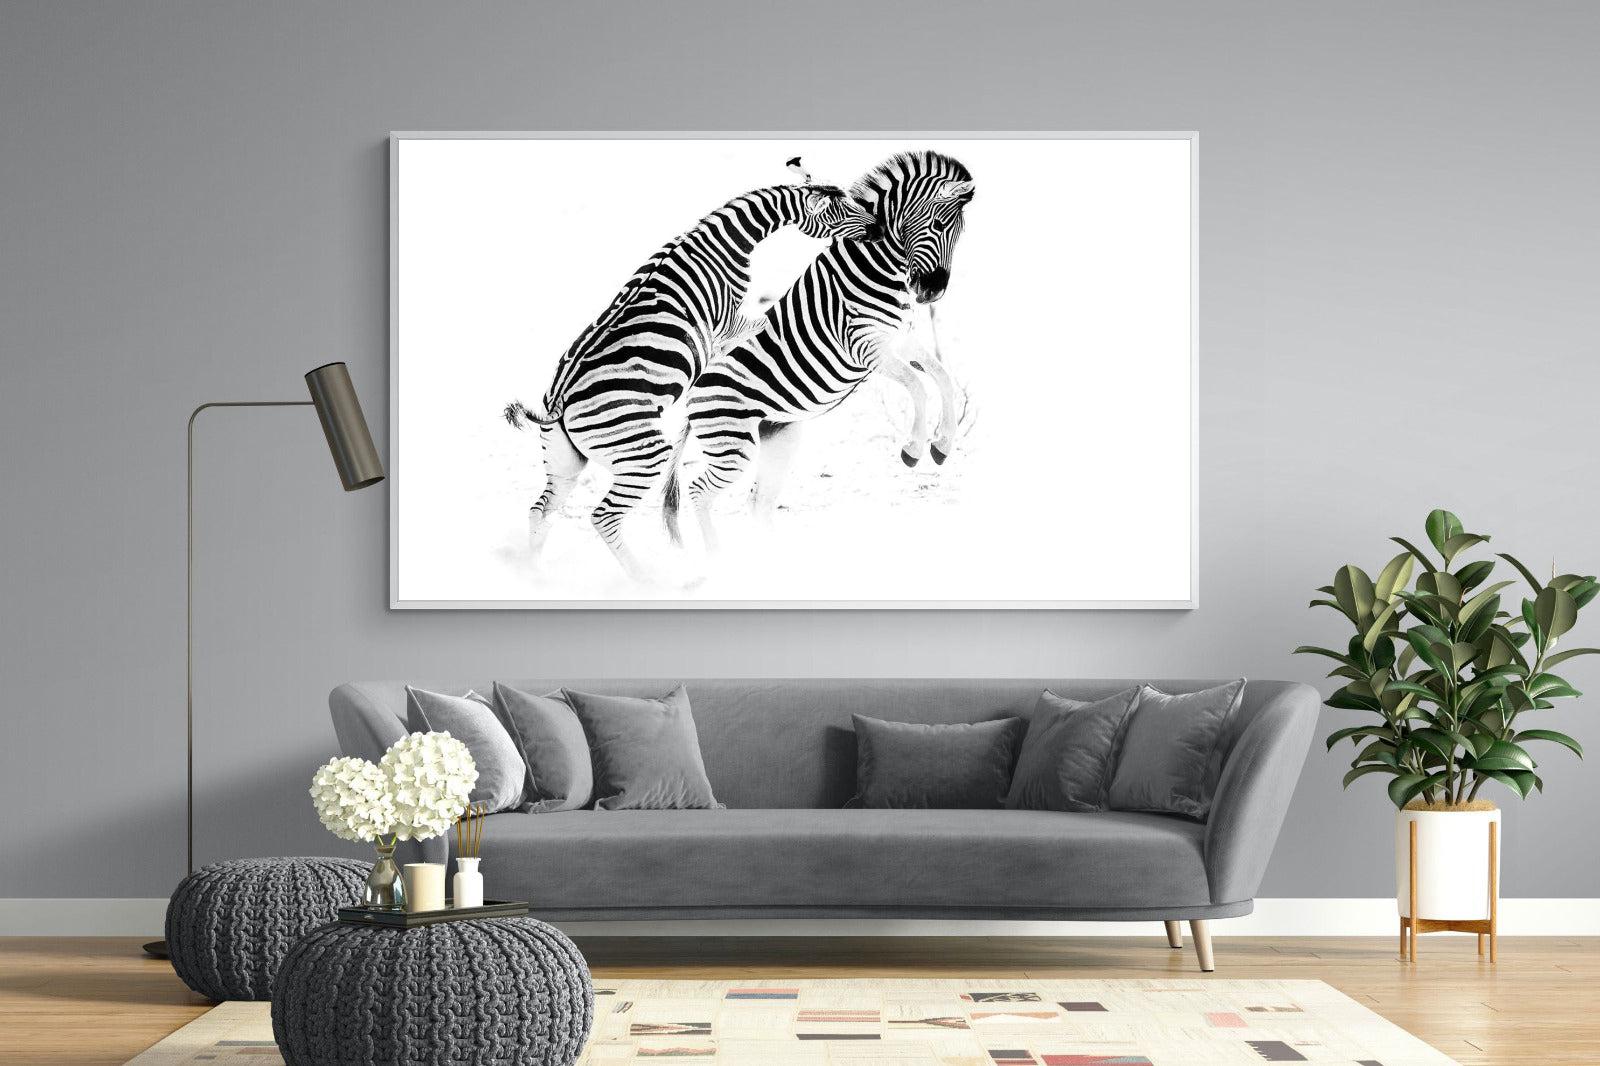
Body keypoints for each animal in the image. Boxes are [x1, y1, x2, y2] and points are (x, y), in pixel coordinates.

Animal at [503, 160, 881, 579]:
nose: (879, 227)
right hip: (643, 454)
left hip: (565, 462)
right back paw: (647, 579)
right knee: (604, 516)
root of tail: (559, 401)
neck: (725, 244)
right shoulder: (728, 323)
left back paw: (536, 575)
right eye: (844, 211)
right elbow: (763, 325)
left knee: (541, 511)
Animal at [662, 150, 975, 551]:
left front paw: (942, 445)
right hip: (733, 441)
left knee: (758, 503)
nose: (933, 292)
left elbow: (943, 378)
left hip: (779, 437)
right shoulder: (864, 346)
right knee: (700, 491)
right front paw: (914, 449)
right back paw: (718, 556)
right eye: (938, 224)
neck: (874, 266)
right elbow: (919, 386)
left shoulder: (900, 339)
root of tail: (690, 396)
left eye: (960, 232)